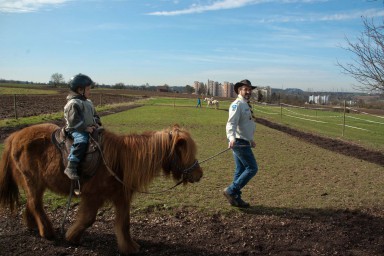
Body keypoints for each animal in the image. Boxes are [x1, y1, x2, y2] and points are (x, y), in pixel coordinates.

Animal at [0, 123, 204, 255]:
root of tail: (14, 136)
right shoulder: (93, 196)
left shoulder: (121, 198)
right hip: (33, 181)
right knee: (36, 204)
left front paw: (129, 247)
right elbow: (88, 219)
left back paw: (34, 226)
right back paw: (48, 232)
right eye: (184, 152)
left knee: (32, 203)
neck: (120, 161)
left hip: (35, 183)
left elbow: (124, 223)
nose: (199, 174)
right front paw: (72, 237)